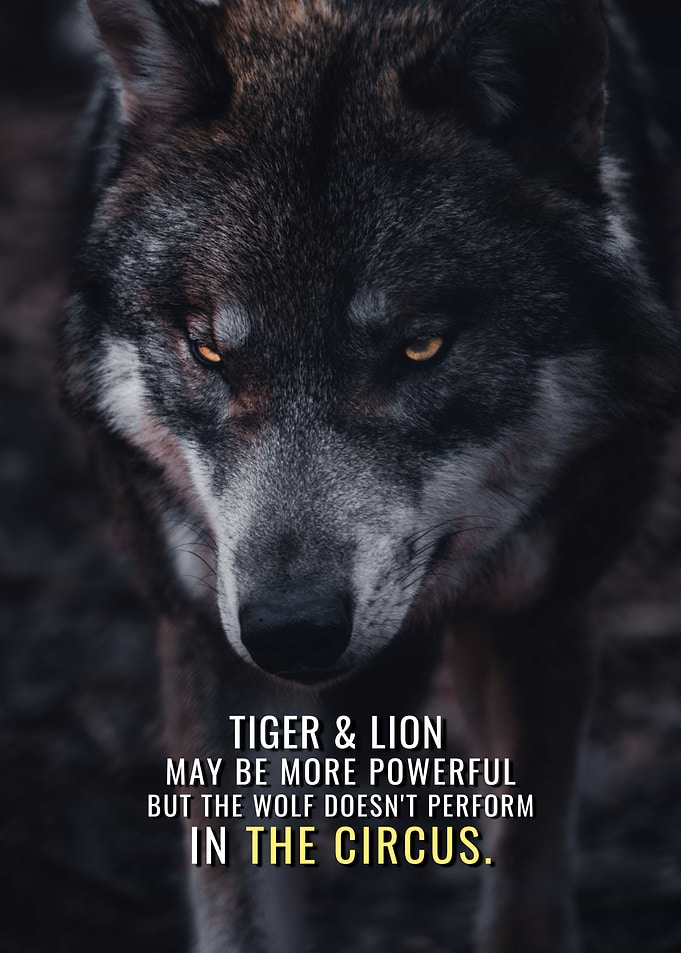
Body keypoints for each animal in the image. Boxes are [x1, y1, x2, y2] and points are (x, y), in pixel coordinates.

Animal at [62, 1, 681, 951]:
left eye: (419, 347)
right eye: (208, 351)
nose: (289, 629)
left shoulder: (543, 609)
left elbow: (527, 891)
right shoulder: (206, 632)